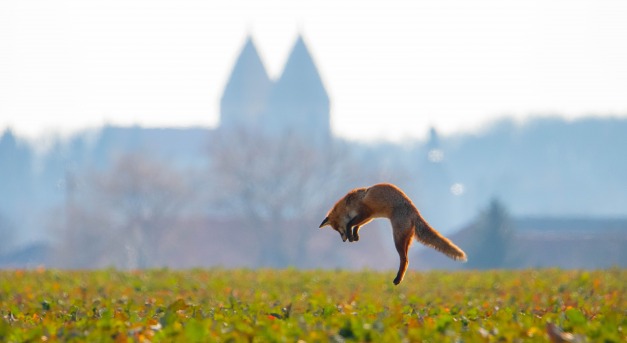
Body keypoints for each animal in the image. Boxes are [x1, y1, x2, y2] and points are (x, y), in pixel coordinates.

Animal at [322, 184, 468, 286]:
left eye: (338, 229)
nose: (343, 240)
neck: (350, 202)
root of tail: (414, 211)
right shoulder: (370, 216)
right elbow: (357, 225)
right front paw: (355, 235)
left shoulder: (365, 211)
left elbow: (350, 224)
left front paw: (351, 234)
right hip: (406, 239)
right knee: (407, 260)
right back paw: (399, 278)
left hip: (397, 239)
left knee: (405, 259)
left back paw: (397, 279)